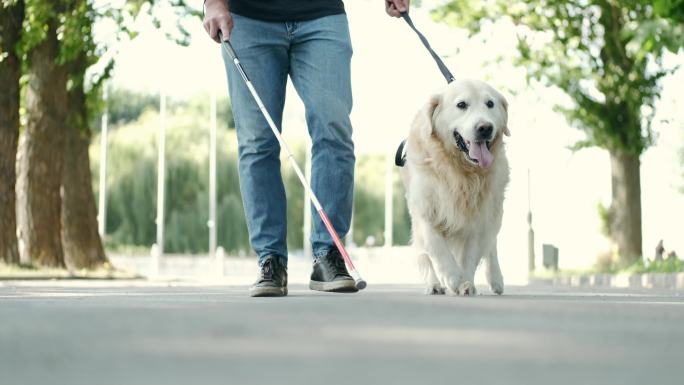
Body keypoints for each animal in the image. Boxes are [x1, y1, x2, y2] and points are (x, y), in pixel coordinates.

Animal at [400, 77, 508, 294]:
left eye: (490, 103)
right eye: (461, 105)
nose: (485, 128)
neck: (459, 171)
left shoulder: (477, 217)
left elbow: (471, 254)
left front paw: (465, 282)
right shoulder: (425, 209)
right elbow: (436, 247)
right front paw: (451, 277)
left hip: (495, 209)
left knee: (491, 243)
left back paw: (496, 278)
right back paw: (433, 283)